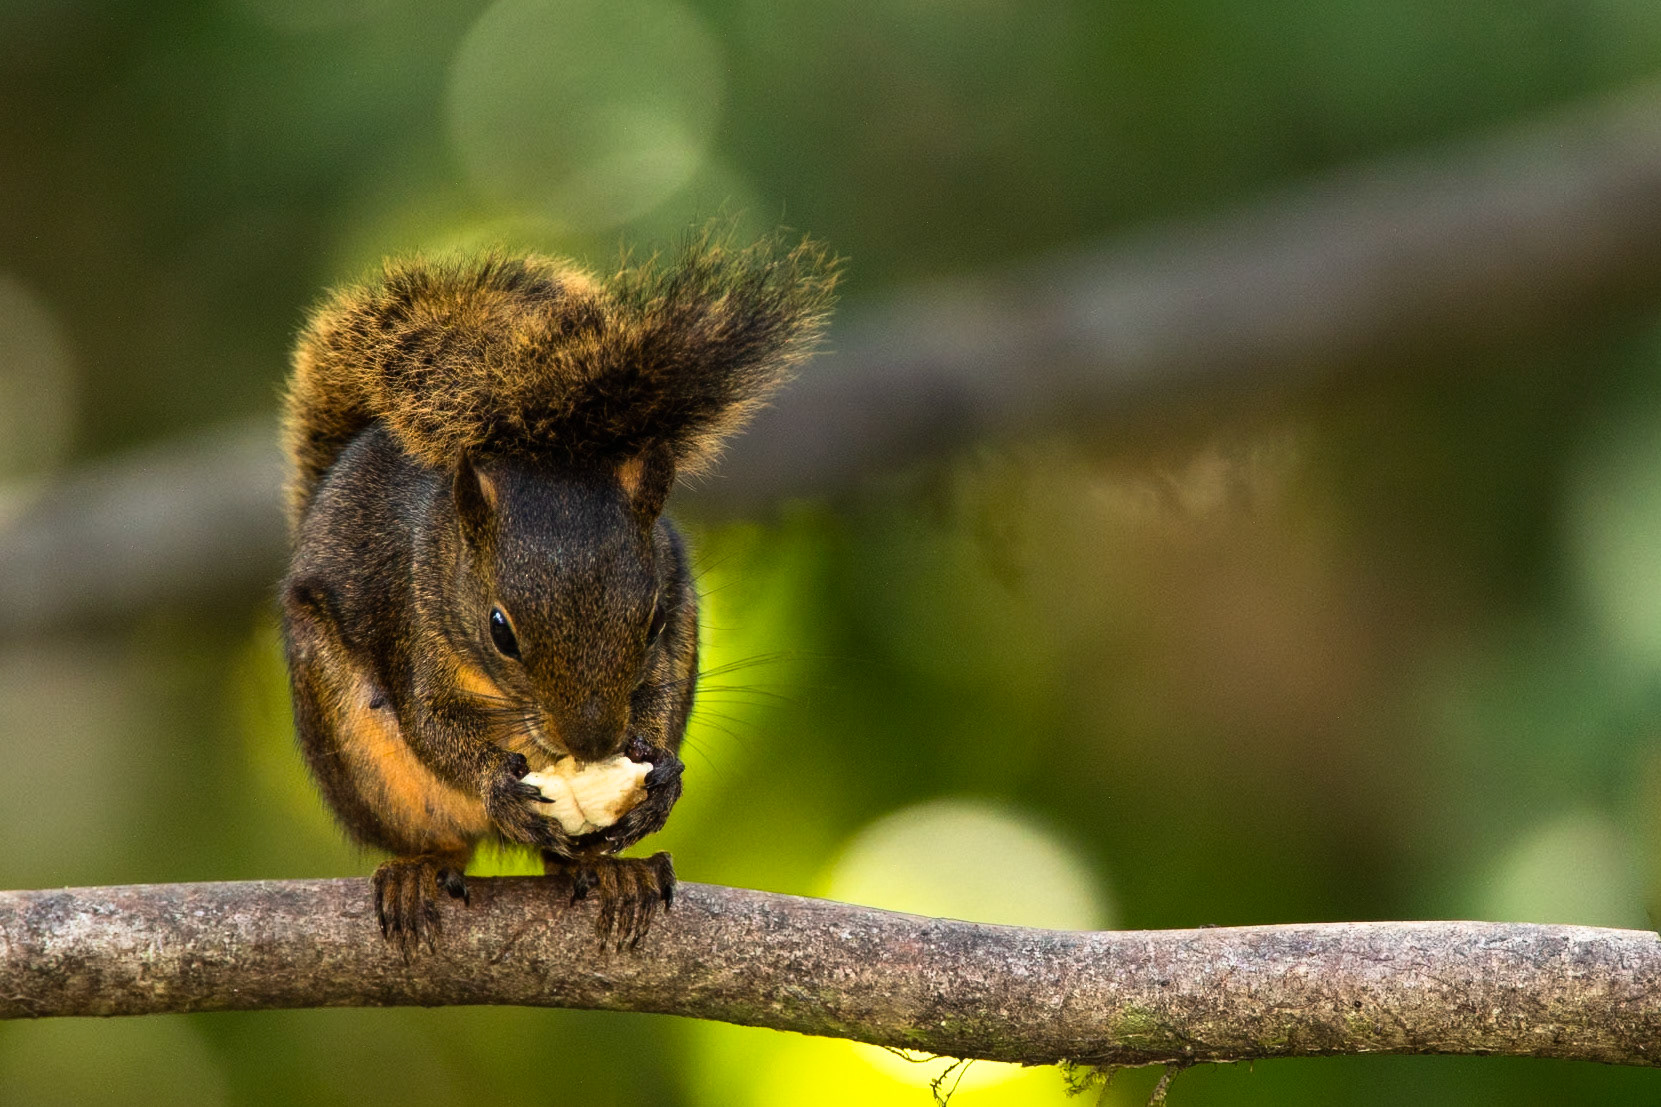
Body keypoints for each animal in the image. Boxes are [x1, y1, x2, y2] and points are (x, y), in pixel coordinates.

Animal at [279, 231, 837, 952]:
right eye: (499, 631)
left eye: (653, 622)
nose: (594, 744)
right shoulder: (413, 623)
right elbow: (431, 722)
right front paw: (495, 783)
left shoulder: (677, 607)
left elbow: (658, 697)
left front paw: (661, 779)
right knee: (441, 839)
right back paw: (421, 871)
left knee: (566, 857)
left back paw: (612, 869)